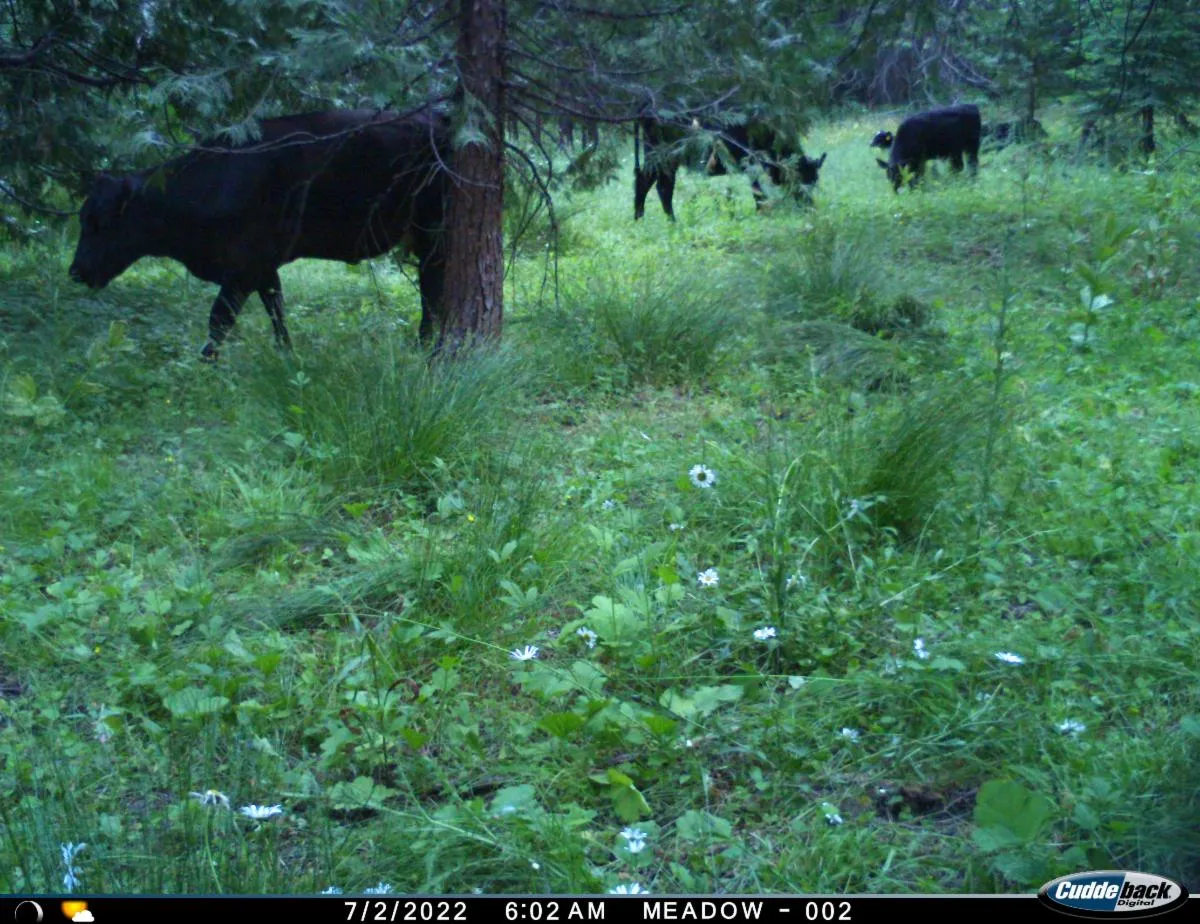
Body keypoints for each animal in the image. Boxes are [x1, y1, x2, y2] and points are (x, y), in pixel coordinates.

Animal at [69, 108, 452, 360]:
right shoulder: (265, 268)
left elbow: (219, 319)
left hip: (433, 233)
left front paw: (205, 364)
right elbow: (277, 313)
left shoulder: (245, 266)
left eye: (100, 222)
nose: (75, 271)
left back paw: (429, 352)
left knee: (432, 296)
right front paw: (287, 357)